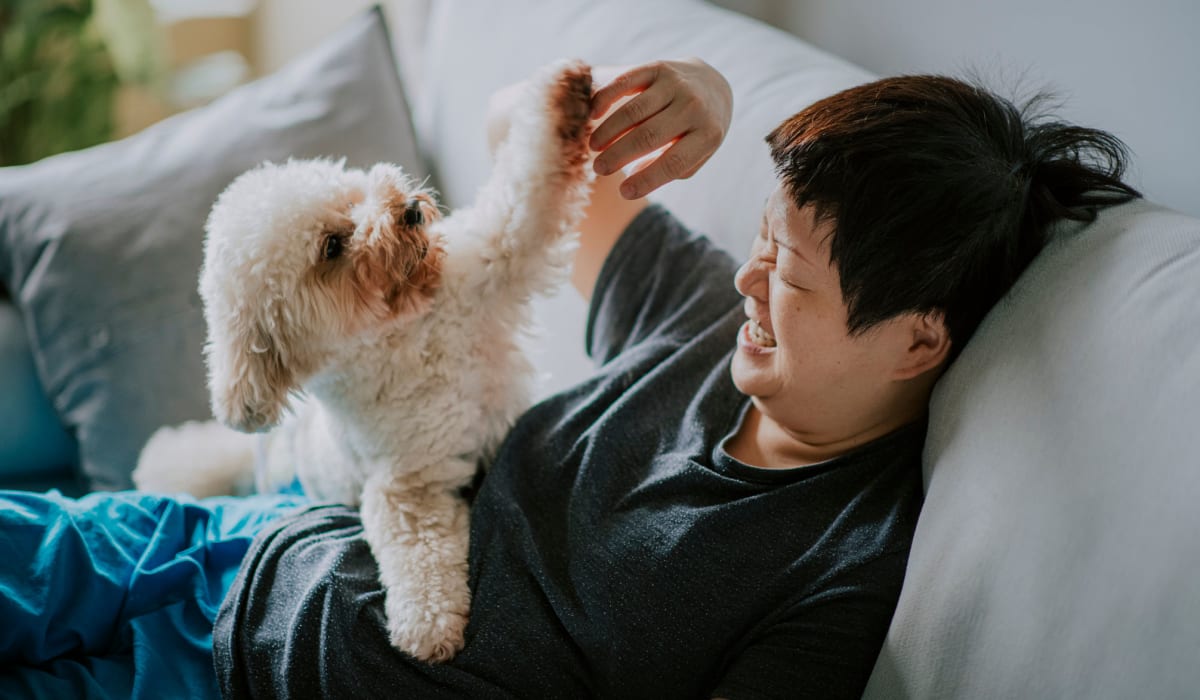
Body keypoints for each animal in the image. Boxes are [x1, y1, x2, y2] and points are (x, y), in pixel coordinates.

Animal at [132, 60, 595, 662]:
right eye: (332, 246)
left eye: (352, 195)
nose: (409, 209)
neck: (406, 333)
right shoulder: (405, 486)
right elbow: (416, 554)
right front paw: (428, 627)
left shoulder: (496, 255)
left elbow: (527, 186)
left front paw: (567, 97)